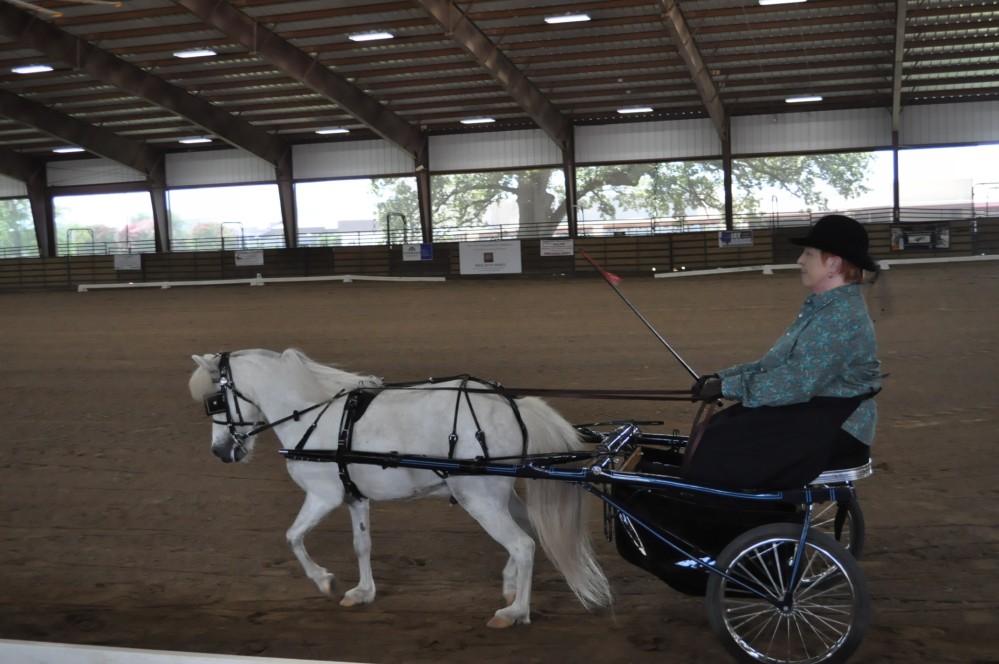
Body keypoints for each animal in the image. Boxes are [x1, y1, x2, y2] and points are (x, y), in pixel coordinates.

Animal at [188, 350, 608, 624]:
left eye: (215, 401)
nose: (220, 451)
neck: (310, 415)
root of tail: (514, 406)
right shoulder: (353, 497)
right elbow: (361, 544)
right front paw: (362, 592)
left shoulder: (323, 496)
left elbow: (293, 536)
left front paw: (325, 582)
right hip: (500, 496)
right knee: (528, 531)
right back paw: (509, 585)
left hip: (479, 499)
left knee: (522, 545)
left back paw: (515, 611)